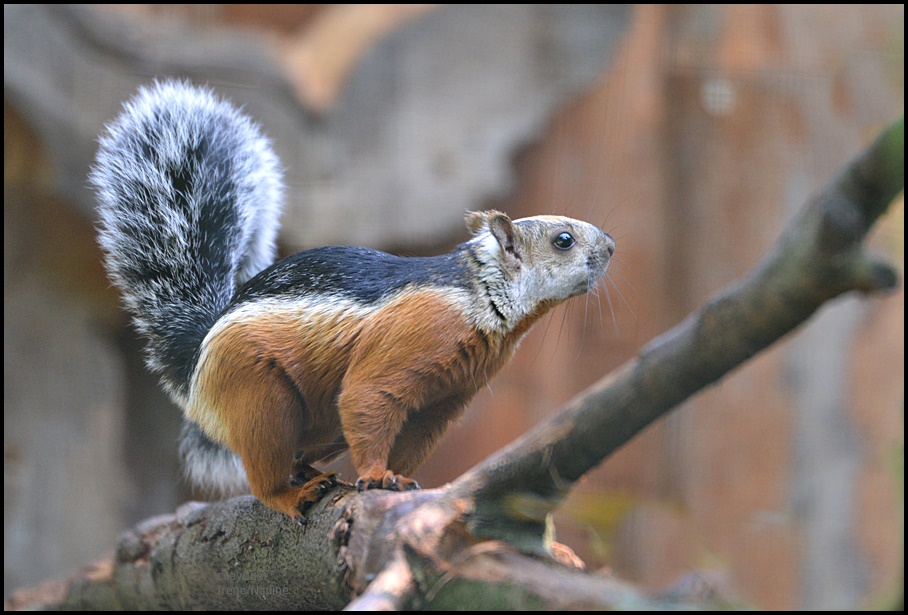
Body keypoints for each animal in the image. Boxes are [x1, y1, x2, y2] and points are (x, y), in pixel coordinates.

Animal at [90, 82, 616, 524]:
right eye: (563, 240)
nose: (611, 246)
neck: (477, 295)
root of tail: (195, 360)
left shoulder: (444, 401)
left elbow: (413, 444)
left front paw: (404, 483)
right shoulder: (403, 351)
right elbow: (368, 399)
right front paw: (378, 477)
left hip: (319, 425)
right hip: (261, 400)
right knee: (264, 476)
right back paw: (292, 493)